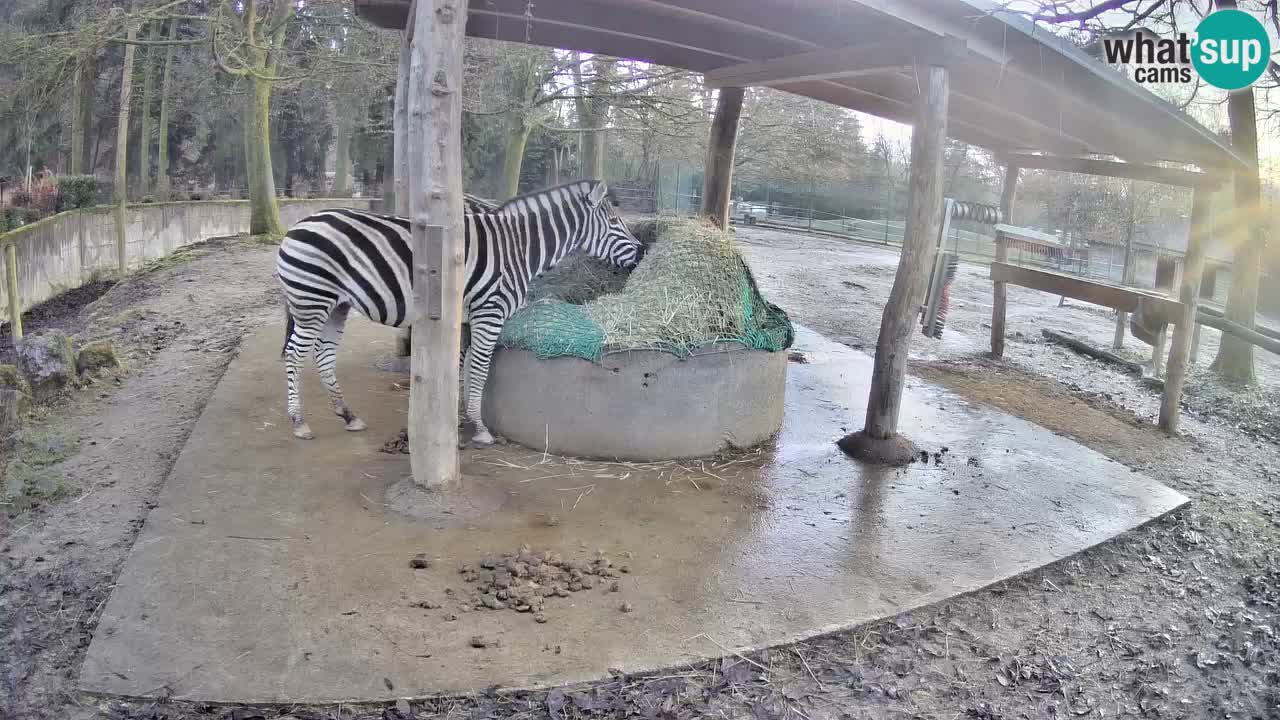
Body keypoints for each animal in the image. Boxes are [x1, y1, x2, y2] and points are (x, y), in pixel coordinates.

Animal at [275, 179, 643, 445]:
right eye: (615, 221)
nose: (641, 253)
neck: (518, 248)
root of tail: (297, 226)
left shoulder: (467, 319)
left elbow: (464, 368)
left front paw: (459, 417)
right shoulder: (490, 313)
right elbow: (479, 369)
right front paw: (480, 428)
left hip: (336, 305)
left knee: (324, 355)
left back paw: (348, 415)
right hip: (312, 300)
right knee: (295, 354)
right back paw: (299, 422)